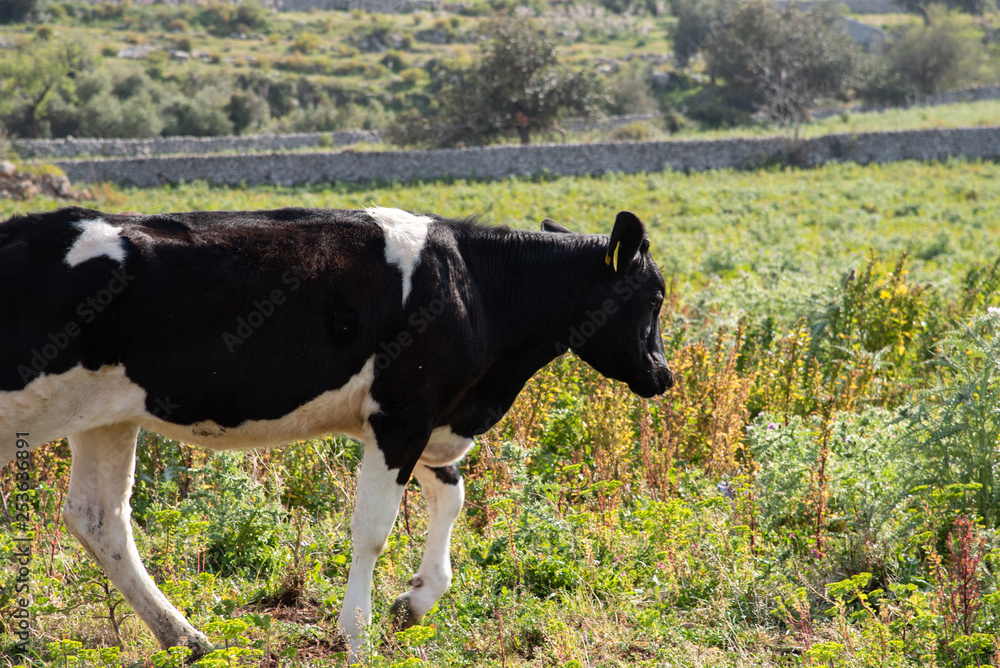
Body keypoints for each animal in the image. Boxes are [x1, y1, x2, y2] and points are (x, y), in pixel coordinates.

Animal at [0, 205, 676, 664]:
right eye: (655, 296)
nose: (663, 375)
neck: (476, 287)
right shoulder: (401, 414)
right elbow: (373, 532)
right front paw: (358, 635)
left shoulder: (426, 416)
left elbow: (451, 496)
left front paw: (414, 602)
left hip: (106, 416)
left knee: (99, 518)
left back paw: (189, 639)